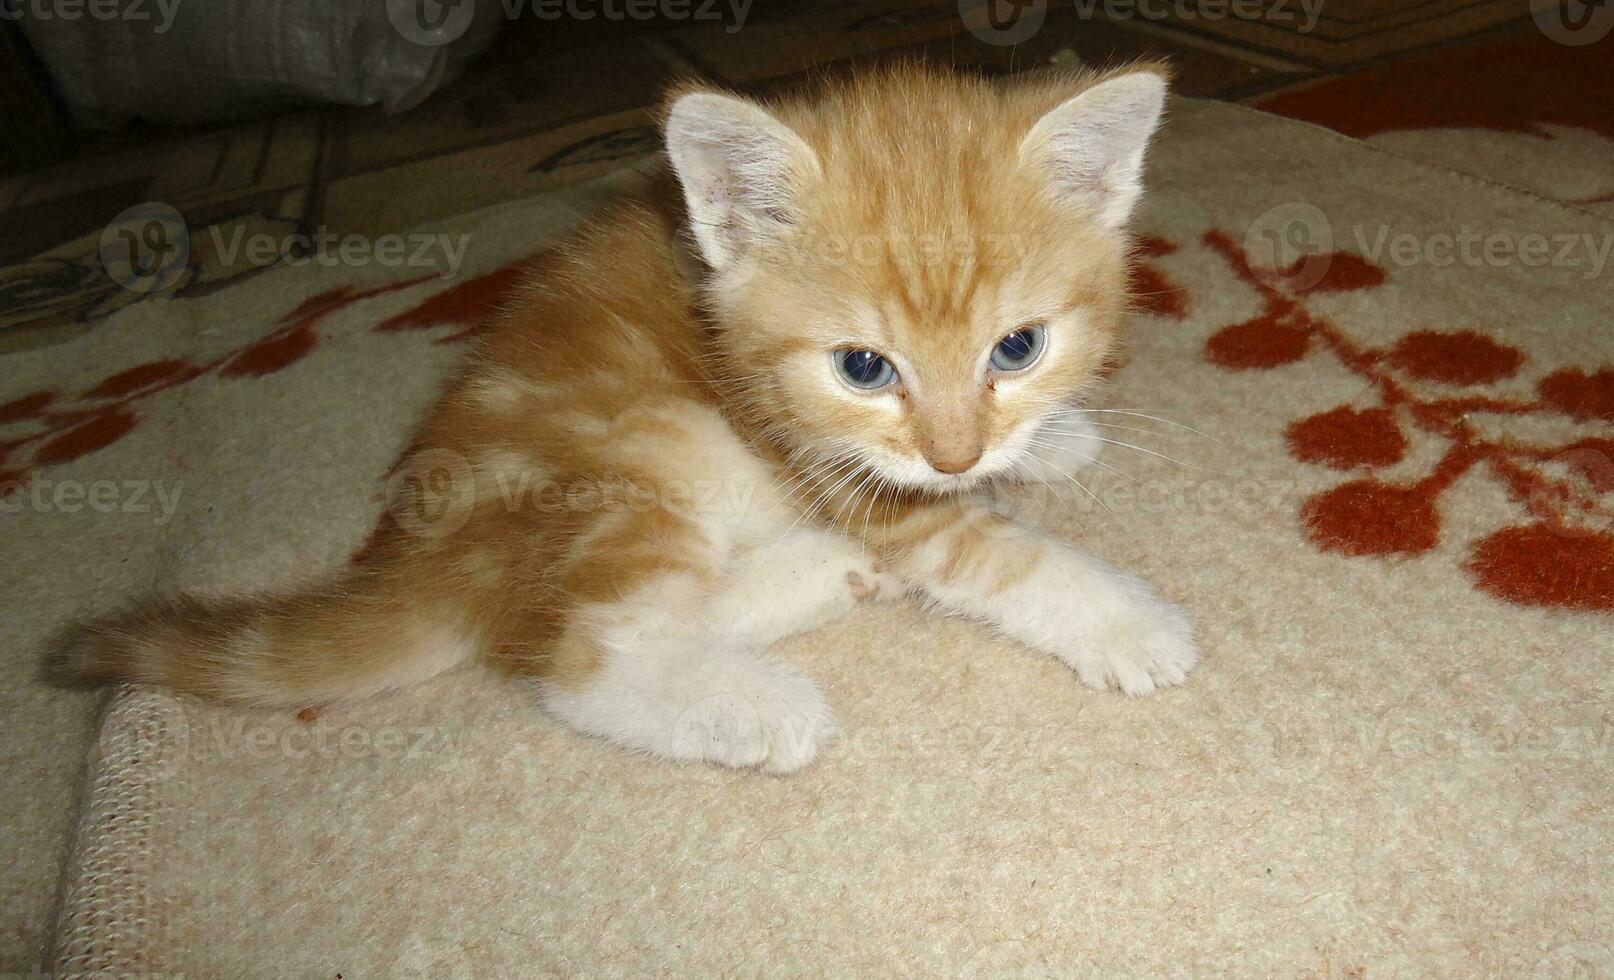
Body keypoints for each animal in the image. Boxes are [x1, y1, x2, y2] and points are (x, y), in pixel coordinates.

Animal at [62, 67, 1200, 774]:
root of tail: (432, 555)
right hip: (643, 444)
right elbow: (987, 551)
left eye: (1018, 348)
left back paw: (816, 574)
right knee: (577, 656)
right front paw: (1124, 620)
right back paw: (756, 699)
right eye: (863, 367)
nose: (959, 452)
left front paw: (1051, 438)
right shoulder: (821, 457)